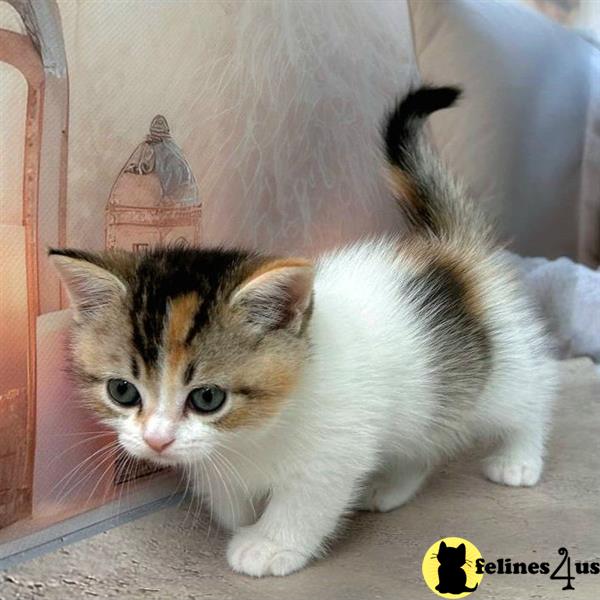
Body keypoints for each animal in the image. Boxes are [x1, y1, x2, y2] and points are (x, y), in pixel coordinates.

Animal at [49, 84, 556, 576]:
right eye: (122, 391)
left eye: (208, 398)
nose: (156, 441)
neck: (257, 430)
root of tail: (453, 250)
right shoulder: (212, 459)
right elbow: (228, 499)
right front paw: (243, 519)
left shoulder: (335, 450)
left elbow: (304, 504)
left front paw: (268, 545)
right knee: (425, 439)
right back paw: (392, 485)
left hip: (500, 371)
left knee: (532, 397)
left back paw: (519, 459)